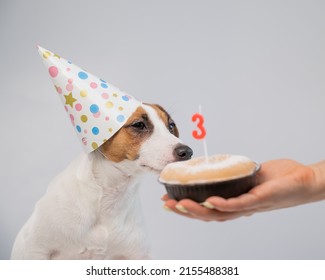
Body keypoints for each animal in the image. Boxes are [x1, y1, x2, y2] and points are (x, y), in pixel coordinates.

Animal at [10, 103, 192, 260]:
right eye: (139, 124)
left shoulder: (138, 255)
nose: (187, 152)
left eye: (171, 126)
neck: (109, 199)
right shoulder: (35, 249)